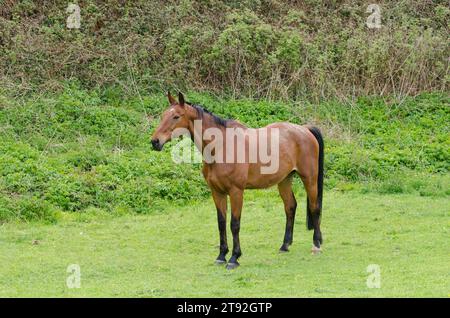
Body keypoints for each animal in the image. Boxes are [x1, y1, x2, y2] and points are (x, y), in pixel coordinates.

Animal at [151, 93, 324, 270]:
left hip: (309, 178)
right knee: (290, 207)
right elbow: (221, 223)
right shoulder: (217, 192)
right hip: (284, 180)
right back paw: (285, 245)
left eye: (176, 116)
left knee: (314, 207)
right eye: (163, 116)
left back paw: (316, 244)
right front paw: (221, 256)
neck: (221, 147)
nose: (155, 141)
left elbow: (234, 224)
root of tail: (305, 129)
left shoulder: (236, 192)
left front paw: (234, 257)